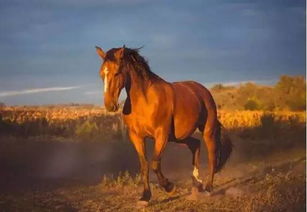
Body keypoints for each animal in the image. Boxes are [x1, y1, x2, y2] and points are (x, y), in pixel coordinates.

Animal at [95, 45, 232, 206]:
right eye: (101, 74)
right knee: (195, 144)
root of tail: (203, 91)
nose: (110, 105)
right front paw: (145, 197)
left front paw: (169, 187)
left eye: (116, 73)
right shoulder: (136, 136)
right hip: (179, 137)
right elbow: (144, 166)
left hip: (207, 131)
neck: (145, 101)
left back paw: (208, 189)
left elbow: (155, 163)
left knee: (212, 156)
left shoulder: (161, 135)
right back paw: (197, 182)